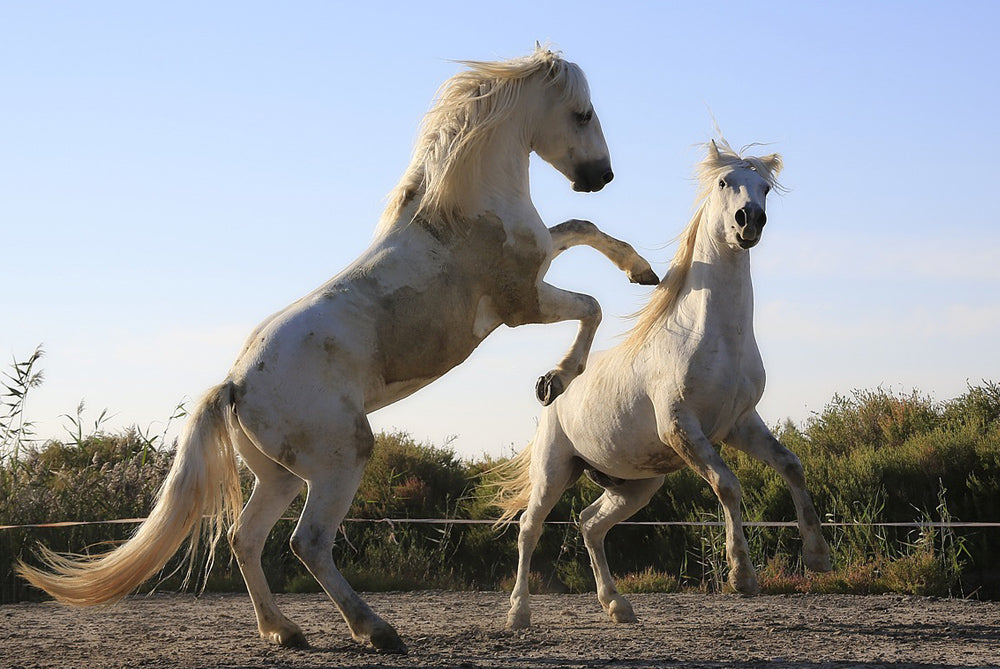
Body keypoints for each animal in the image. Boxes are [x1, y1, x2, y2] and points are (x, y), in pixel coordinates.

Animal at [17, 47, 659, 653]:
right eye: (582, 112)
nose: (600, 175)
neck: (461, 212)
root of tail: (236, 385)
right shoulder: (521, 303)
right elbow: (590, 304)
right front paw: (557, 379)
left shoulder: (538, 265)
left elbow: (581, 229)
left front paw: (643, 272)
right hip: (342, 457)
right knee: (308, 543)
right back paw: (376, 630)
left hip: (279, 476)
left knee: (246, 538)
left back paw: (284, 631)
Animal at [492, 139, 833, 630]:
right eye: (724, 182)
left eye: (765, 188)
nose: (749, 221)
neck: (715, 337)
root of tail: (553, 397)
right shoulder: (681, 427)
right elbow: (728, 485)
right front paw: (742, 577)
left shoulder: (739, 424)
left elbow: (791, 465)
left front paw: (818, 557)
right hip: (554, 469)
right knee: (529, 528)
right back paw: (519, 614)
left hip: (635, 484)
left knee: (590, 523)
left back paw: (618, 606)